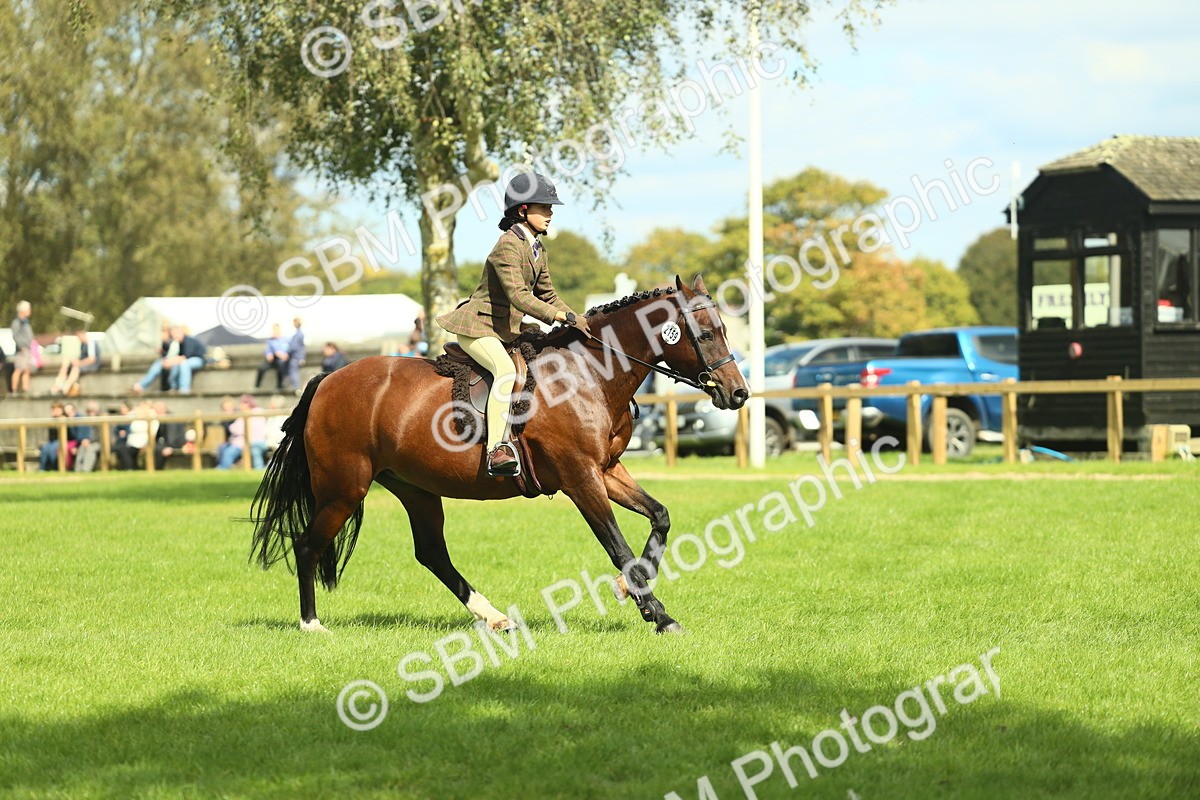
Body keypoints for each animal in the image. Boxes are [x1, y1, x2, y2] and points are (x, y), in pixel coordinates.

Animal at [249, 274, 749, 634]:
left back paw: (494, 617)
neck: (590, 371)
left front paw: (631, 591)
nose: (738, 393)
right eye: (707, 333)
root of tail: (326, 380)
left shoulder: (606, 470)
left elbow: (660, 517)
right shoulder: (580, 477)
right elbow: (618, 546)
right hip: (343, 489)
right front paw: (659, 615)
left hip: (414, 487)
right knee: (307, 545)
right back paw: (311, 625)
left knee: (432, 554)